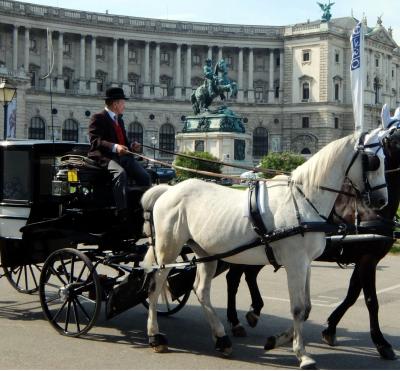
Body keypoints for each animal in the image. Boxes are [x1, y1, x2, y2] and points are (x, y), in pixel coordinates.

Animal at [141, 130, 390, 370]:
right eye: (374, 161)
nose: (381, 202)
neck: (303, 200)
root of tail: (167, 190)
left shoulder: (306, 263)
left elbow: (307, 308)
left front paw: (278, 340)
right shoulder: (295, 263)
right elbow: (298, 308)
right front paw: (302, 354)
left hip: (205, 251)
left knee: (201, 290)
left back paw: (222, 339)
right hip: (168, 249)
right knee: (156, 286)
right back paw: (155, 336)